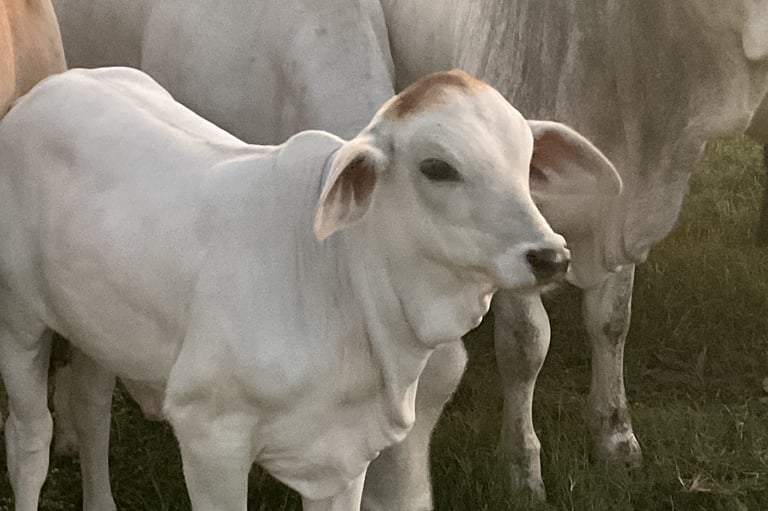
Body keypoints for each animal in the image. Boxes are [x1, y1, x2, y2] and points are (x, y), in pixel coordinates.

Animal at [0, 66, 621, 511]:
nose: (551, 255)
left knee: (90, 409)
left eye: (526, 162)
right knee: (29, 439)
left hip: (95, 327)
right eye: (437, 167)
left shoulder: (343, 459)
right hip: (19, 323)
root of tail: (42, 93)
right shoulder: (209, 436)